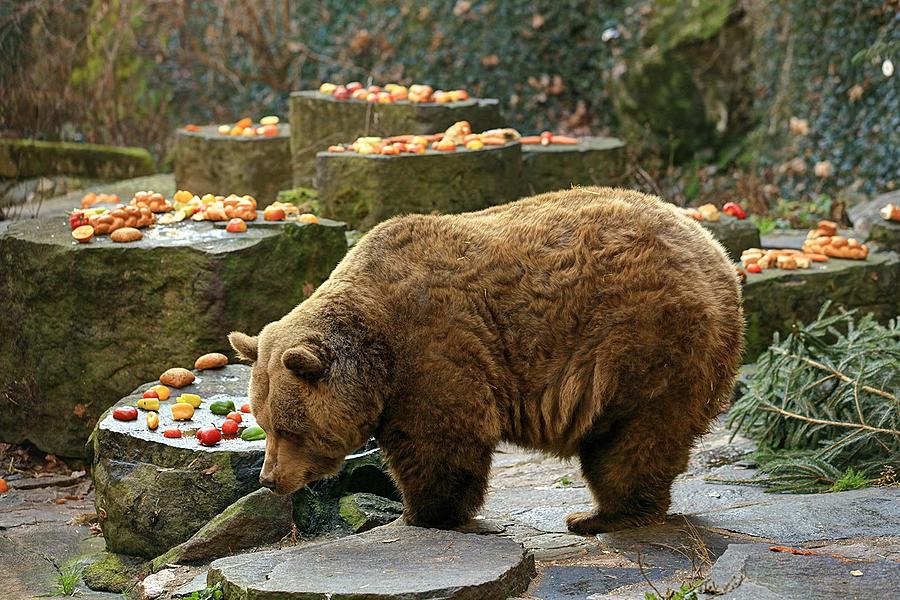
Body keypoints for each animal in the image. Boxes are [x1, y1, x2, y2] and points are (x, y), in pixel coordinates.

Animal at [230, 186, 744, 536]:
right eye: (264, 423)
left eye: (288, 429)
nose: (270, 479)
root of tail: (715, 251)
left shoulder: (432, 344)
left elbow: (441, 436)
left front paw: (424, 513)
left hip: (644, 338)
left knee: (634, 439)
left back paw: (600, 516)